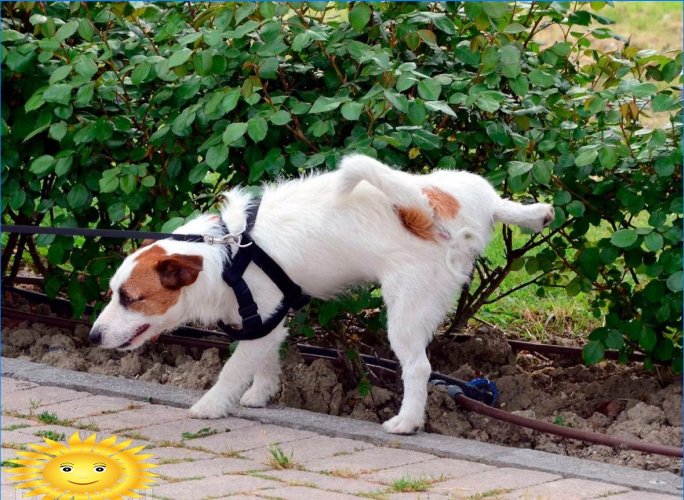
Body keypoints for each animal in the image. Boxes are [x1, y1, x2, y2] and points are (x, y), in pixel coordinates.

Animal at [91, 156, 552, 434]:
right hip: (463, 185)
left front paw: (211, 405)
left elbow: (233, 370)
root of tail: (425, 209)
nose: (93, 337)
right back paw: (533, 213)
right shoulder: (268, 324)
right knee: (498, 202)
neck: (227, 252)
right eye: (113, 293)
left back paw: (406, 421)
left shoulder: (258, 320)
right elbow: (265, 362)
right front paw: (260, 394)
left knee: (418, 368)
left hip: (405, 310)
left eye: (131, 298)